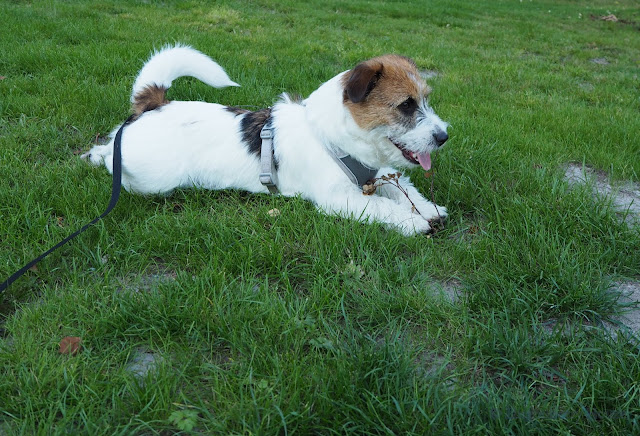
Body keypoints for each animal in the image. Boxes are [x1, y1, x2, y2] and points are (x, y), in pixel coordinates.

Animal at [82, 45, 448, 235]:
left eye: (426, 99)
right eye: (406, 105)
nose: (443, 136)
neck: (332, 137)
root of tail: (154, 103)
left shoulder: (380, 174)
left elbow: (402, 189)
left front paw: (428, 209)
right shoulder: (339, 198)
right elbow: (384, 206)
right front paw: (414, 222)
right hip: (151, 179)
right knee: (114, 155)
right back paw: (95, 157)